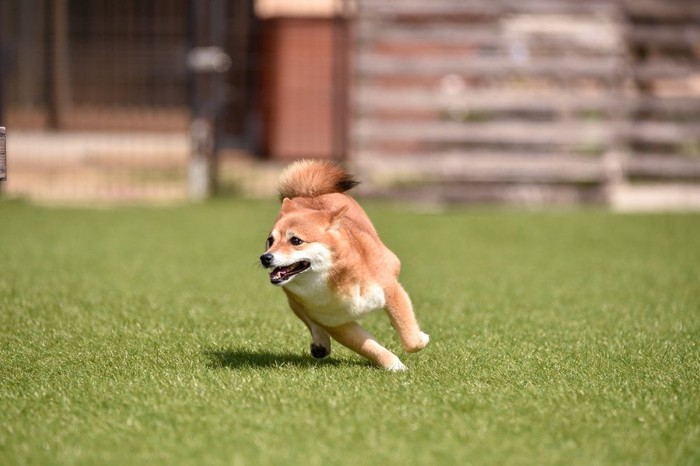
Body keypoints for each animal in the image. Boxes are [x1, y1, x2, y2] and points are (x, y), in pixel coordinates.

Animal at [260, 160, 430, 372]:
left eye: (296, 240)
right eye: (270, 241)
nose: (265, 258)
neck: (335, 279)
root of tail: (309, 195)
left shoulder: (391, 291)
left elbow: (410, 339)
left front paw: (419, 339)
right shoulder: (335, 322)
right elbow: (369, 347)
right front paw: (394, 366)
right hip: (296, 303)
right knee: (309, 321)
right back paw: (321, 343)